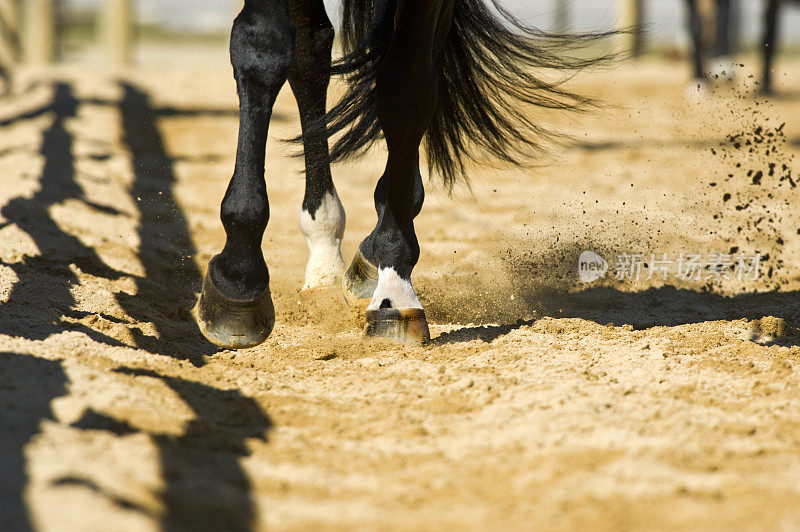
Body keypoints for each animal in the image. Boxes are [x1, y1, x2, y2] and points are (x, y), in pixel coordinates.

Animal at [192, 0, 608, 350]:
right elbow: (262, 49)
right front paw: (239, 278)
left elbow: (406, 90)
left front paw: (392, 287)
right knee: (309, 51)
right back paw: (323, 251)